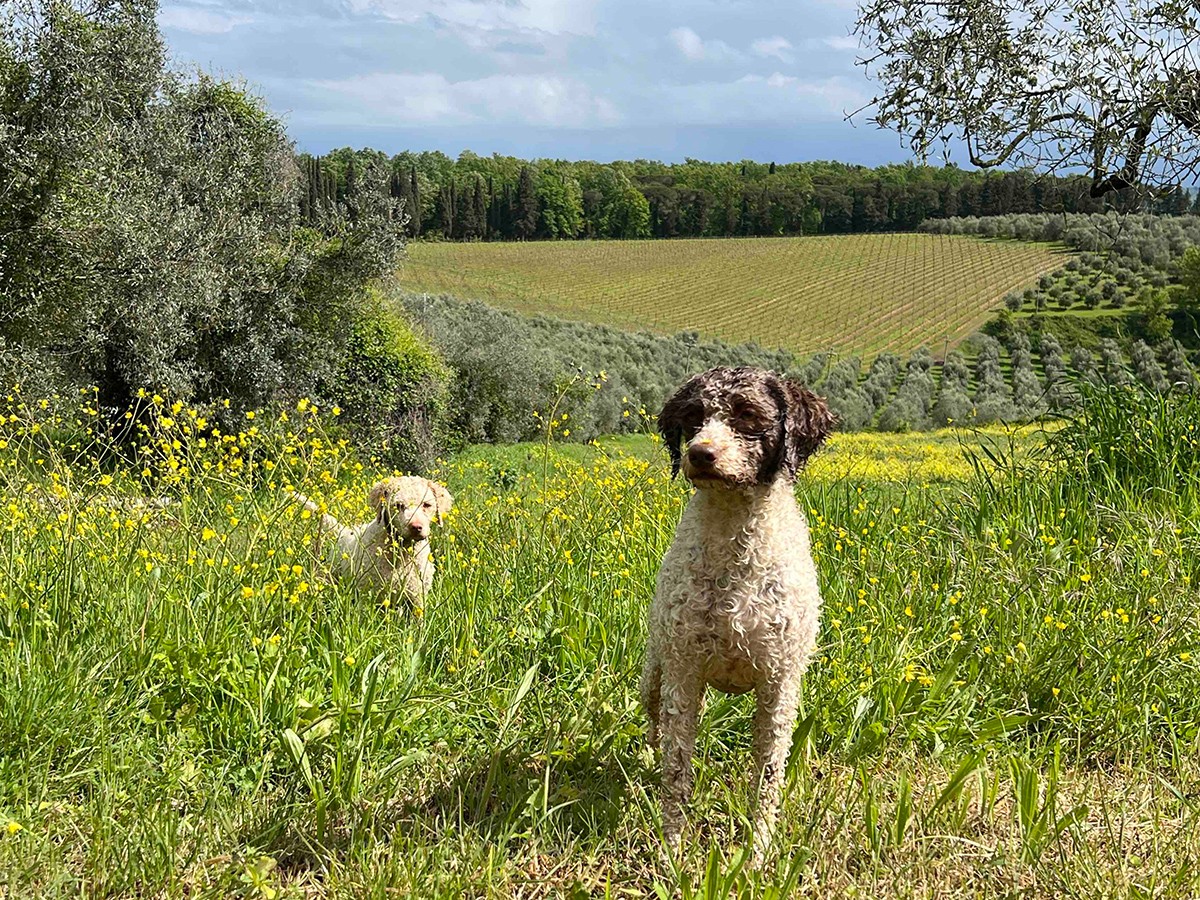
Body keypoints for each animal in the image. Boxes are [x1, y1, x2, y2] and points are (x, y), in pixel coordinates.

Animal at [292, 480, 451, 607]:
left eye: (427, 505)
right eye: (398, 505)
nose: (416, 527)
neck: (402, 553)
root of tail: (345, 530)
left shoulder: (417, 598)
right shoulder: (367, 594)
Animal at [643, 364, 830, 868]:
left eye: (747, 414)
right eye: (693, 417)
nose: (700, 454)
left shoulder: (779, 686)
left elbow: (767, 778)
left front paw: (757, 853)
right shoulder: (684, 676)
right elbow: (676, 771)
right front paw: (672, 851)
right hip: (656, 676)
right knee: (654, 729)